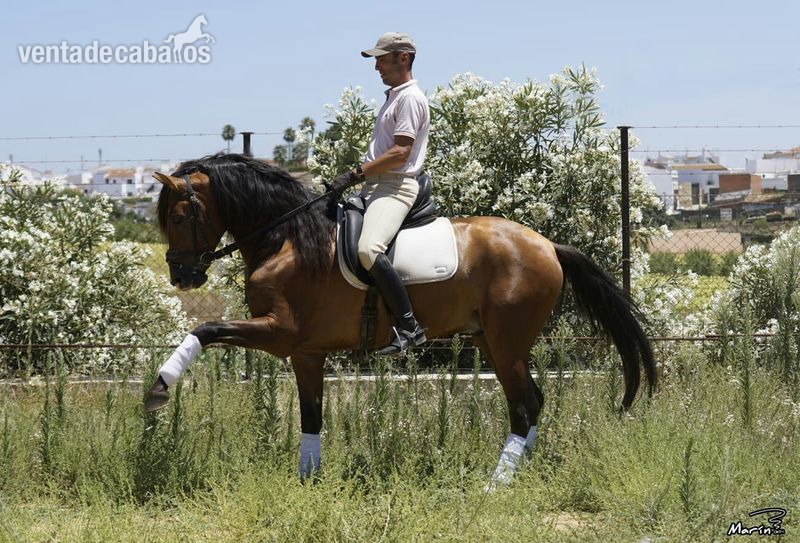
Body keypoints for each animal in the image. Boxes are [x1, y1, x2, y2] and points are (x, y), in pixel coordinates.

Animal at [146, 153, 656, 485]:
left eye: (179, 216)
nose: (181, 276)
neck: (286, 238)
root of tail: (548, 245)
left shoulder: (279, 333)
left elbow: (205, 329)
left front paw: (159, 388)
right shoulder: (305, 351)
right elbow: (311, 417)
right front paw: (308, 483)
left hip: (507, 342)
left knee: (525, 405)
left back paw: (496, 485)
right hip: (492, 342)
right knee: (534, 401)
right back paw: (517, 472)